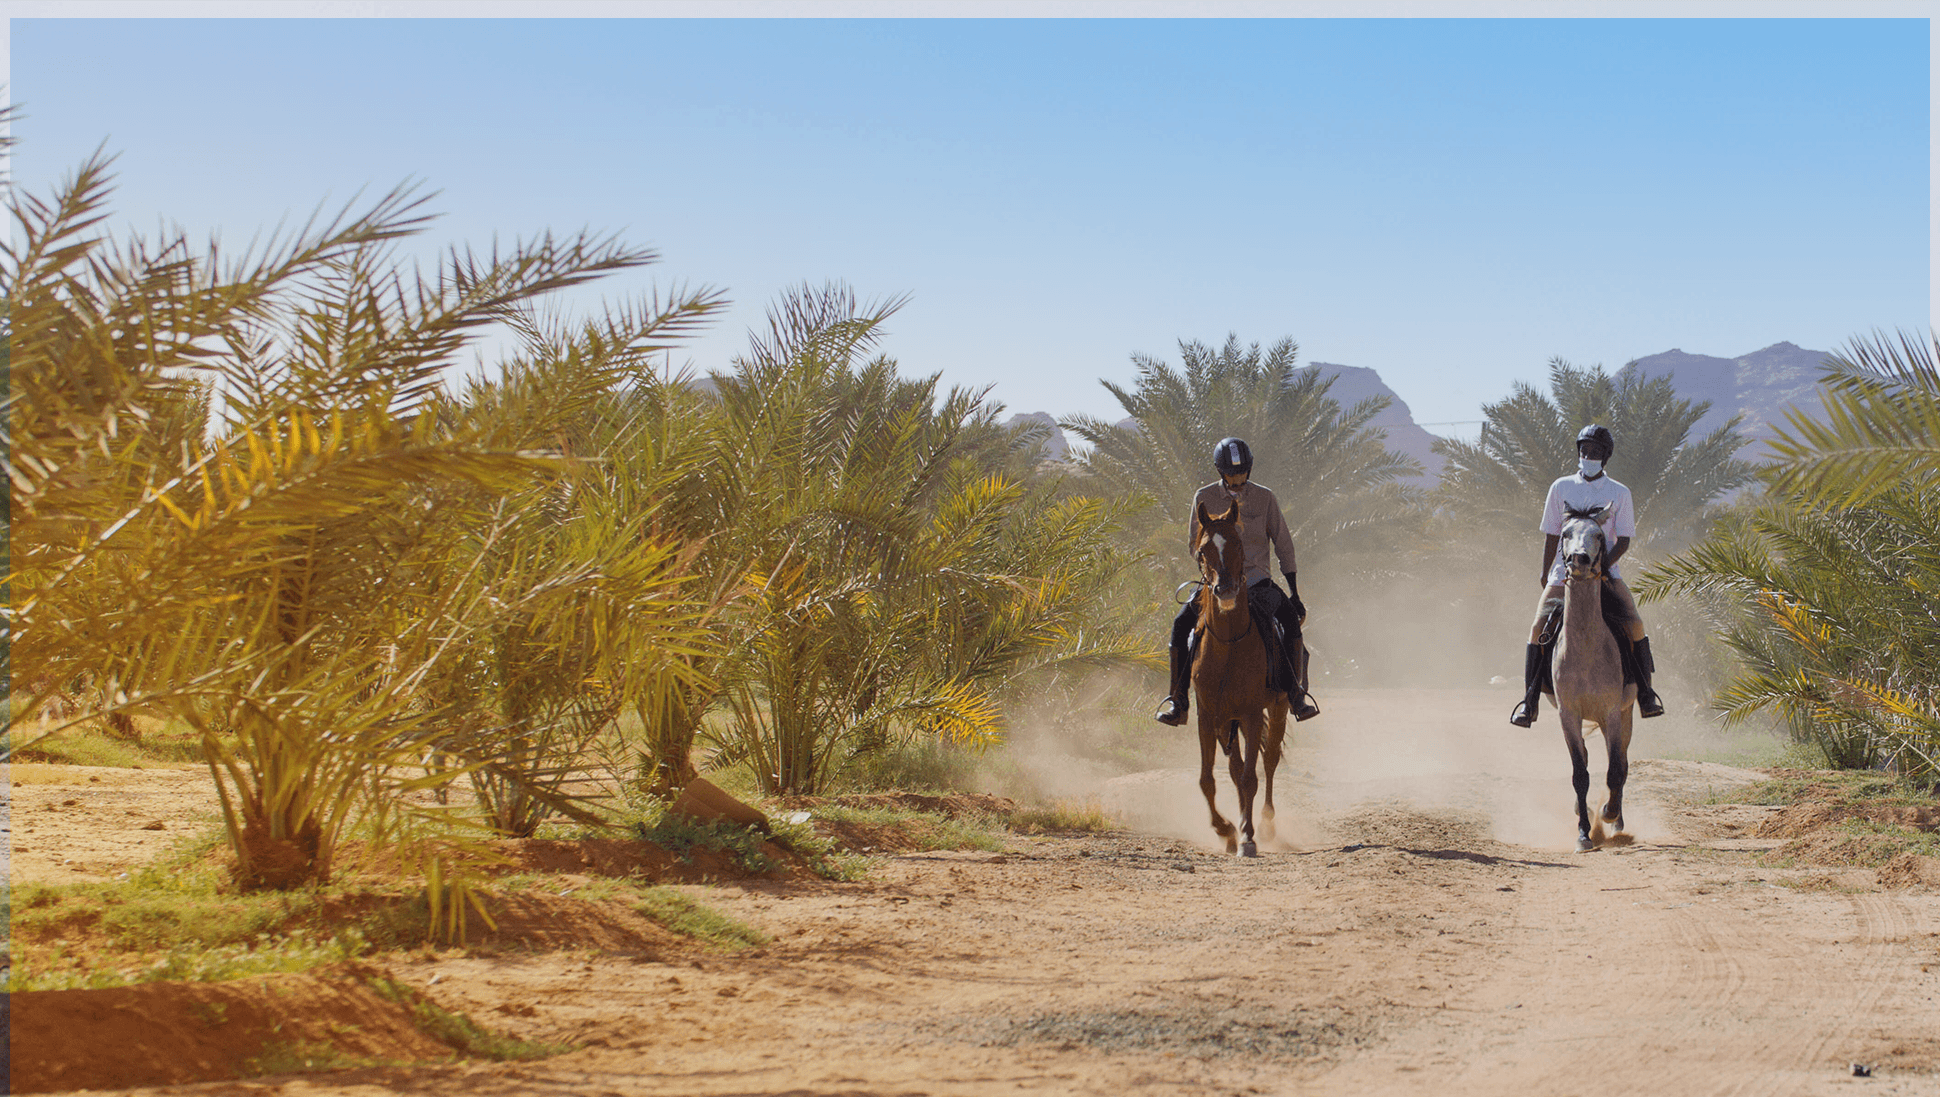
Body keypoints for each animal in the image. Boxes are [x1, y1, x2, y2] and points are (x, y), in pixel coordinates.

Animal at [1189, 499, 1291, 857]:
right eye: (1203, 550)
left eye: (1238, 542)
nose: (1226, 589)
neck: (1229, 645)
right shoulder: (1208, 717)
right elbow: (1208, 779)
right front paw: (1226, 830)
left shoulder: (1251, 714)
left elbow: (1251, 777)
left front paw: (1247, 835)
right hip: (1226, 722)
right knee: (1235, 769)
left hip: (1278, 709)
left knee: (1269, 761)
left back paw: (1267, 823)